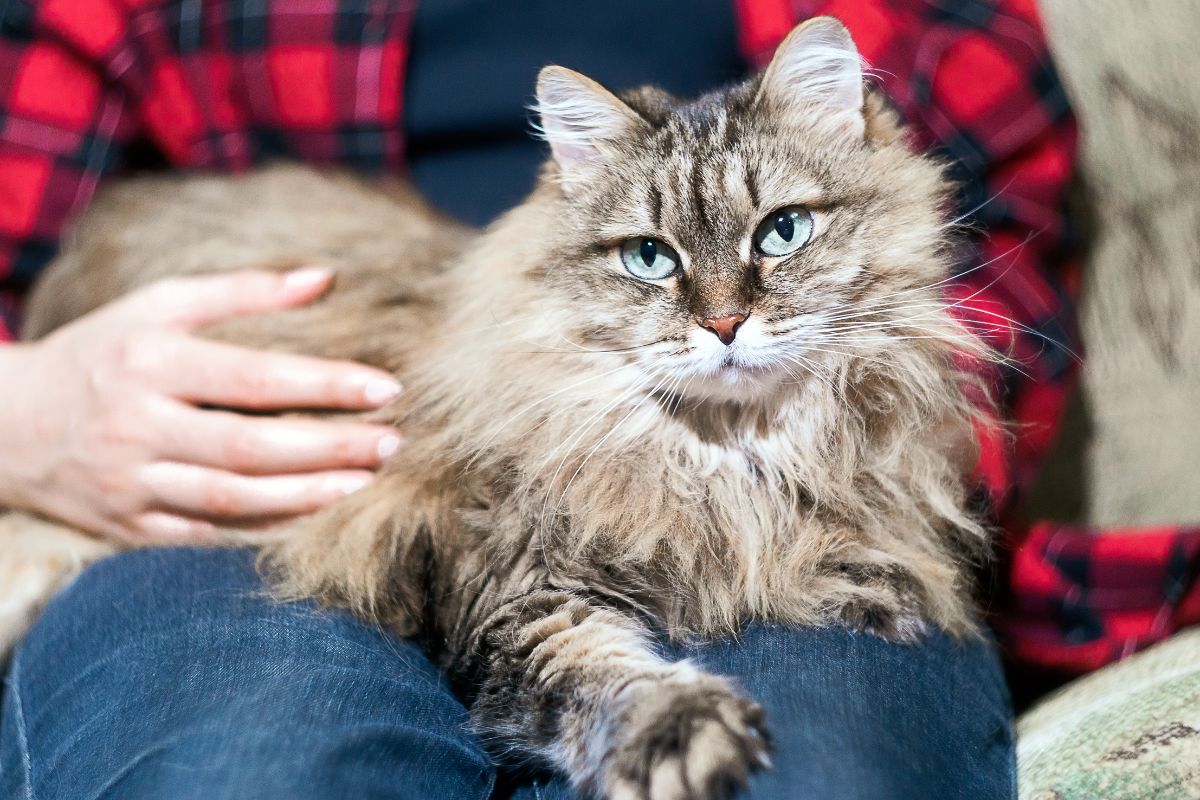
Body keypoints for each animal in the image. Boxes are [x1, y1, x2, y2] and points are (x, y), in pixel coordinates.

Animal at [0, 18, 993, 800]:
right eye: (649, 258)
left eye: (782, 232)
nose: (722, 324)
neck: (720, 454)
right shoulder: (513, 585)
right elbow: (601, 673)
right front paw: (683, 733)